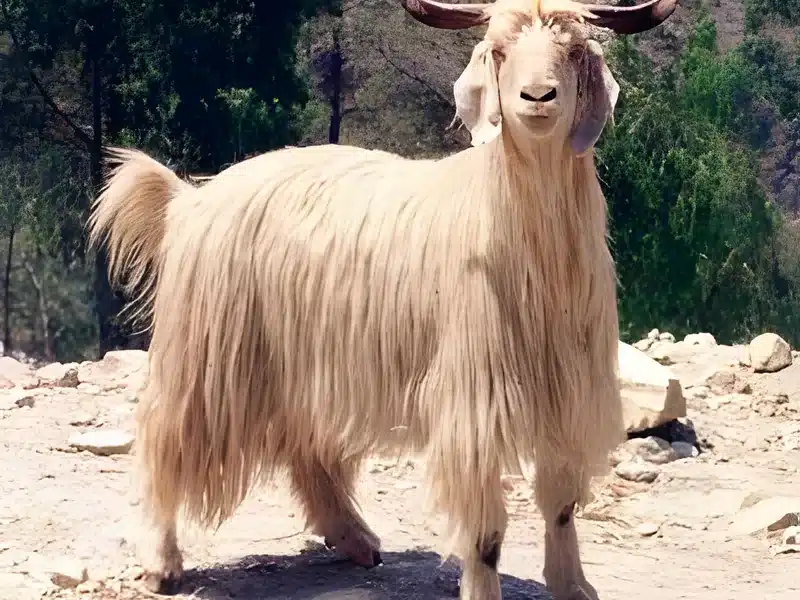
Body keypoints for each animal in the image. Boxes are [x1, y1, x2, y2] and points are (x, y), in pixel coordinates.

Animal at [87, 1, 678, 598]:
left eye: (576, 50)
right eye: (498, 50)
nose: (537, 97)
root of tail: (189, 198)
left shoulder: (569, 390)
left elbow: (560, 503)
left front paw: (574, 586)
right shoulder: (473, 397)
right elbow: (486, 528)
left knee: (307, 449)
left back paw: (355, 539)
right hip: (207, 354)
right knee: (166, 437)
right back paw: (162, 563)